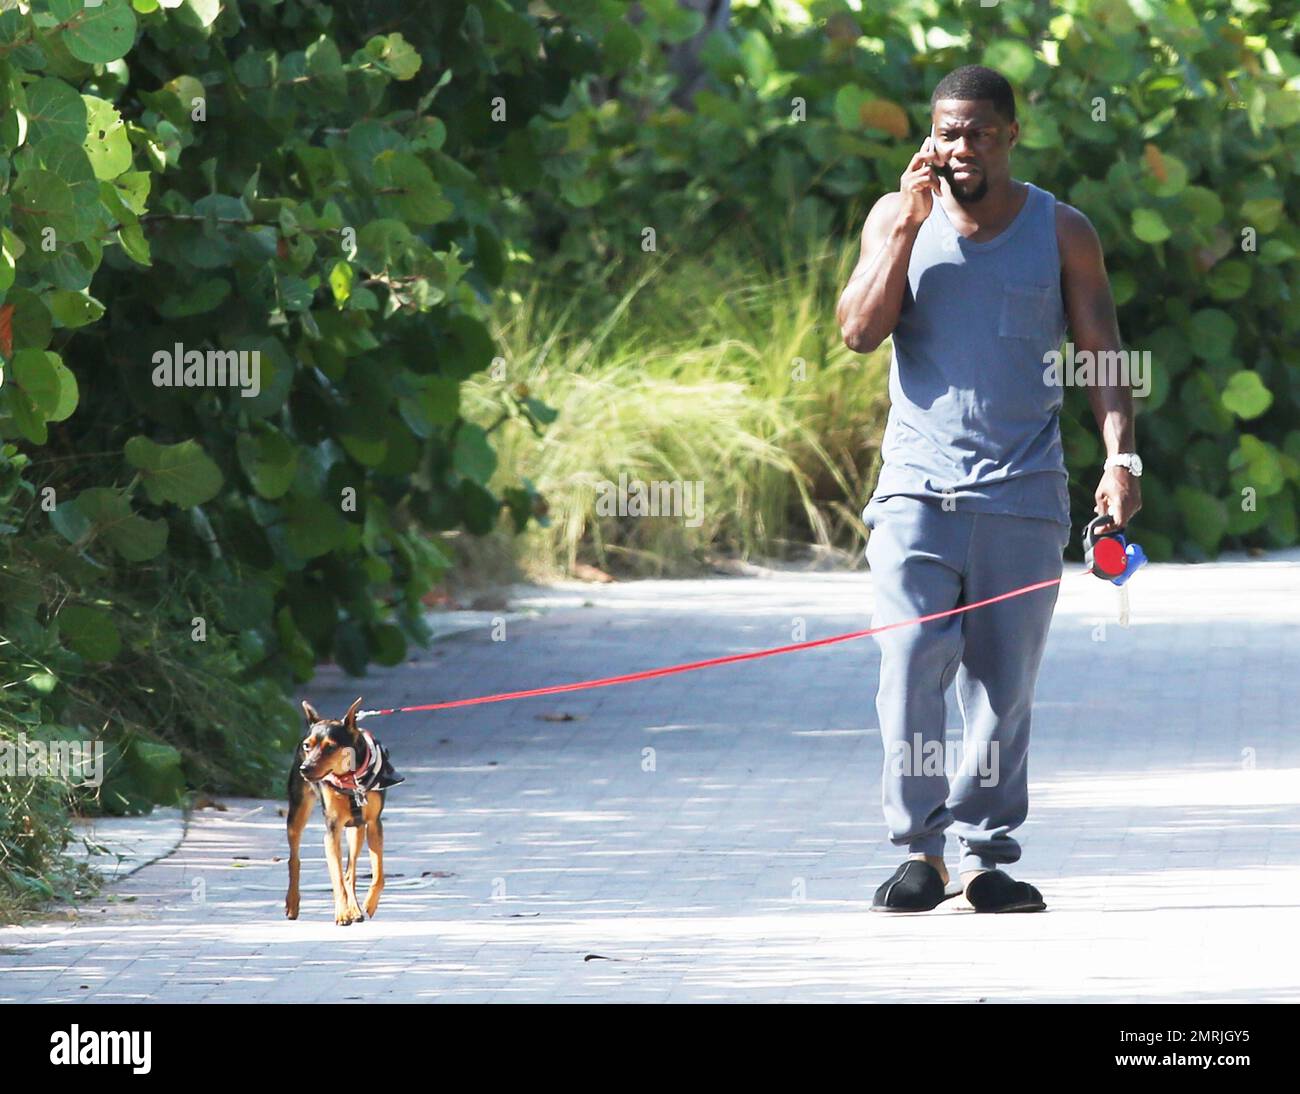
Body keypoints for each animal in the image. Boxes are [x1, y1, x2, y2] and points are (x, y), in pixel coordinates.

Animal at [286, 701, 403, 919]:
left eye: (331, 747)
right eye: (307, 746)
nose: (305, 768)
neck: (351, 779)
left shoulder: (374, 823)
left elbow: (378, 874)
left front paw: (369, 903)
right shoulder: (332, 830)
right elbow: (336, 876)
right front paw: (341, 914)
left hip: (357, 829)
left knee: (350, 871)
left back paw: (355, 909)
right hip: (297, 814)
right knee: (294, 859)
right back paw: (292, 903)